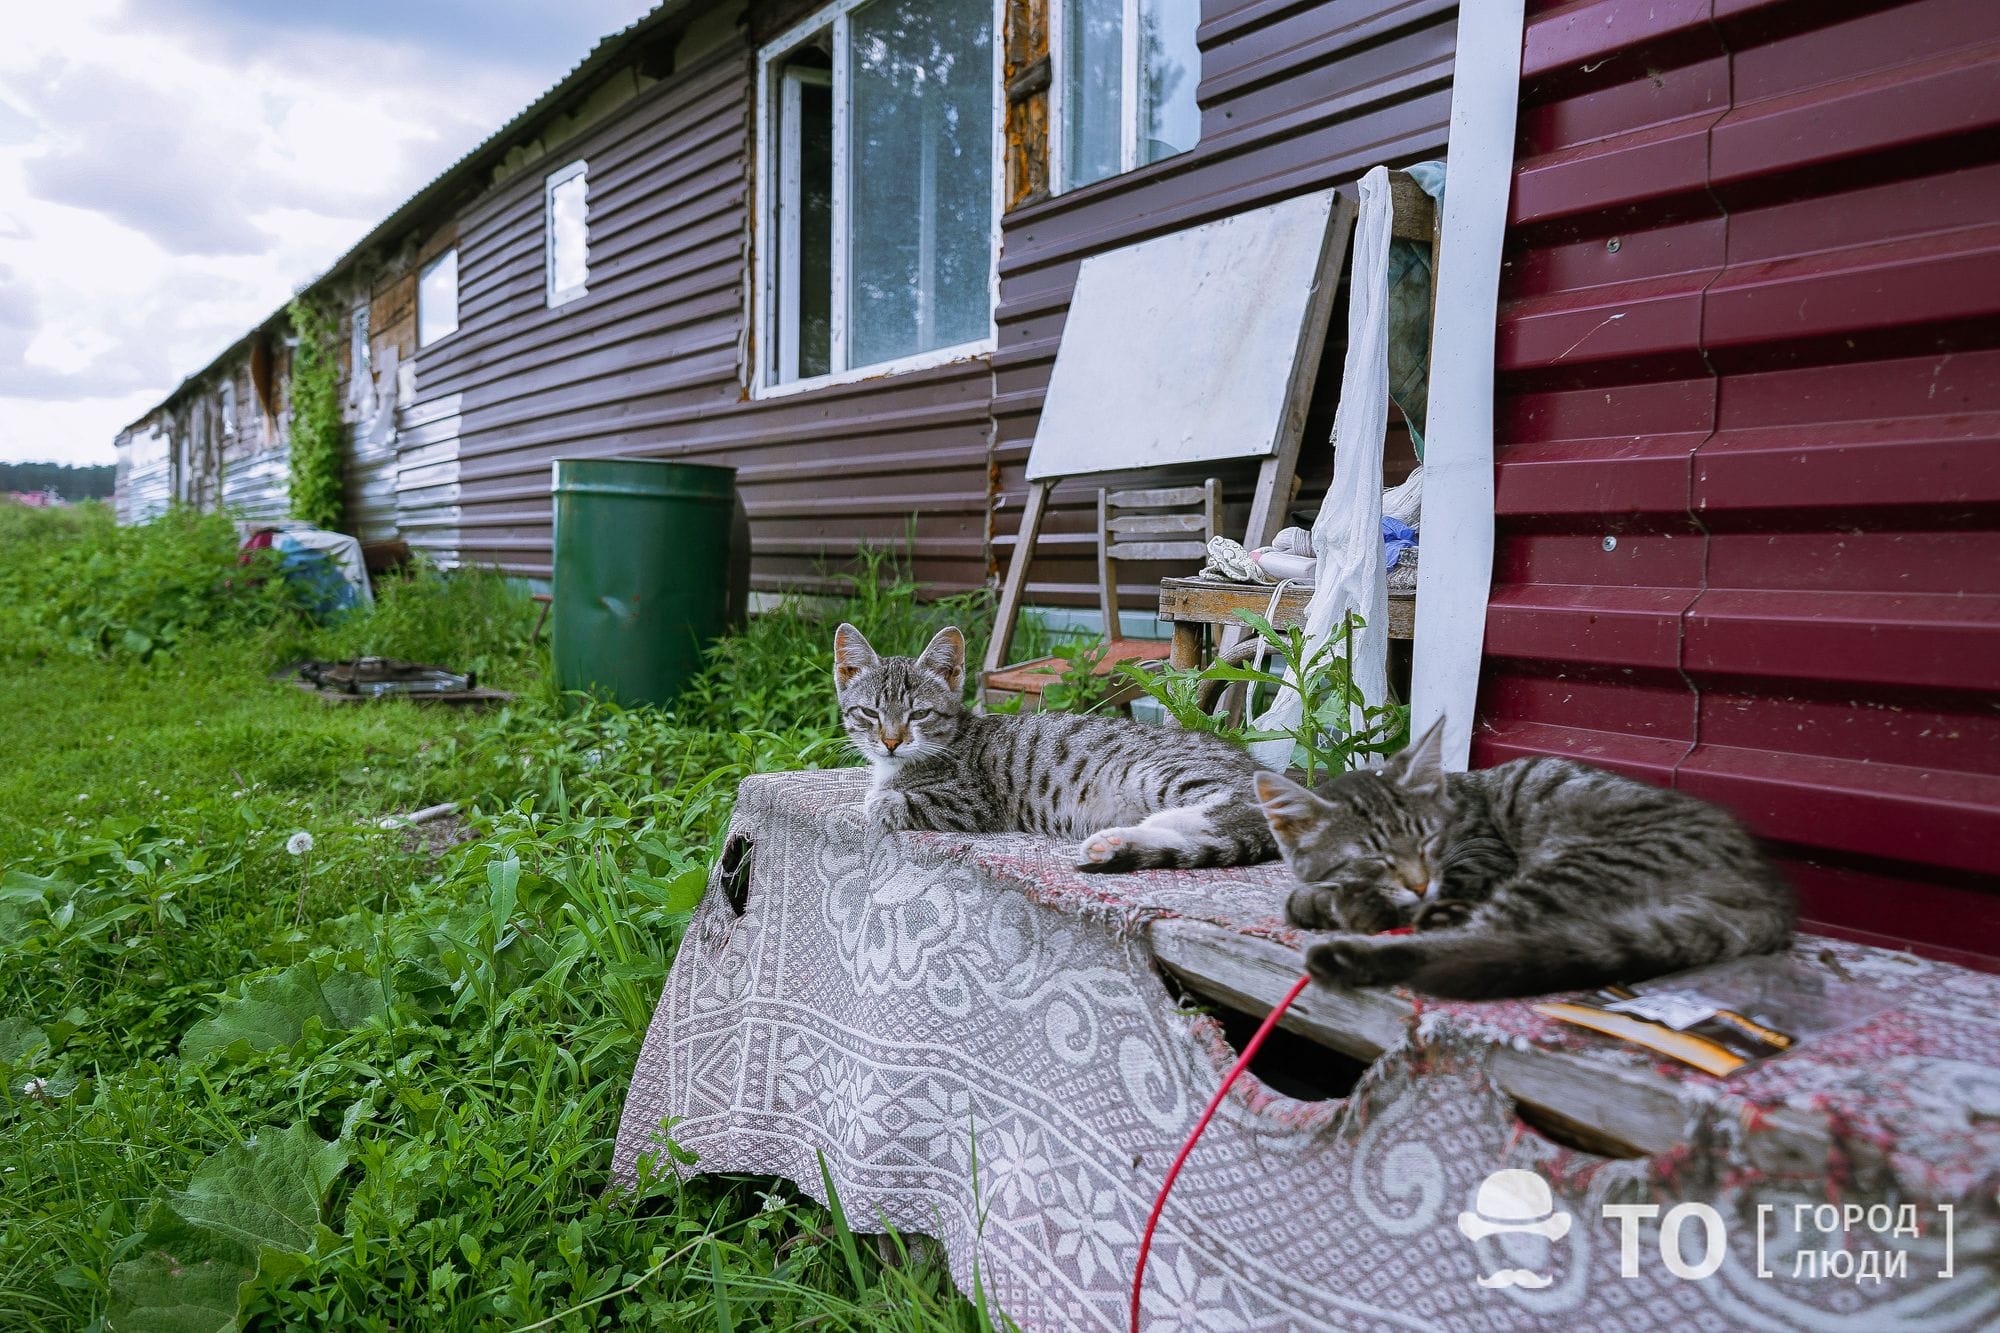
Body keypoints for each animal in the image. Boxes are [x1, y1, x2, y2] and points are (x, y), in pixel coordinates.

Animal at [832, 624, 1272, 872]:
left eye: (919, 714)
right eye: (869, 712)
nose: (891, 741)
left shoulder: (973, 801)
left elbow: (890, 802)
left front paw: (877, 800)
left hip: (1162, 773)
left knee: (1244, 811)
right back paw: (1116, 843)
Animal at [1248, 716, 1800, 996]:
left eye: (1429, 840)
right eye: (1375, 857)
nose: (1421, 883)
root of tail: (1765, 893)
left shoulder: (1483, 848)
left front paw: (1365, 908)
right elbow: (1303, 897)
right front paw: (1334, 900)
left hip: (1574, 866)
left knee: (1476, 941)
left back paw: (1355, 954)